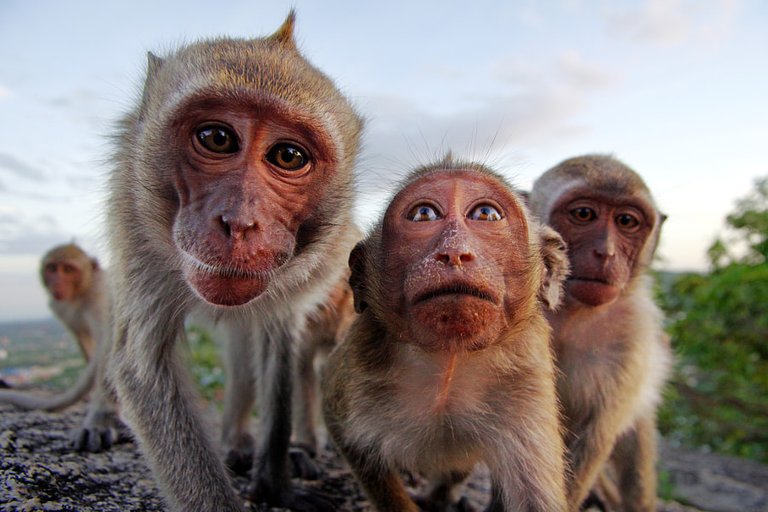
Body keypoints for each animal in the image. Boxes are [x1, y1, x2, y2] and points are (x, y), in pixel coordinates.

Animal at [105, 11, 362, 512]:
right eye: (216, 138)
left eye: (288, 155)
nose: (240, 223)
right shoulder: (135, 224)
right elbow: (144, 368)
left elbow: (278, 342)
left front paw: (276, 481)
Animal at [322, 157, 570, 512]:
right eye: (424, 214)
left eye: (486, 214)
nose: (454, 253)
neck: (449, 359)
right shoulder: (358, 365)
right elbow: (352, 442)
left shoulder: (527, 375)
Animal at [528, 154, 672, 511]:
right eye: (584, 214)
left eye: (626, 221)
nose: (605, 253)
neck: (573, 313)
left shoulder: (632, 336)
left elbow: (593, 437)